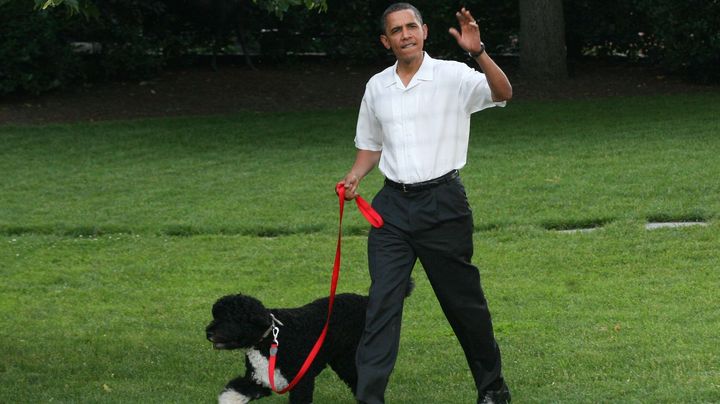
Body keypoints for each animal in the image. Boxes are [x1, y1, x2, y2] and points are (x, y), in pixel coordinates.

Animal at [205, 284, 414, 404]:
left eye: (230, 317)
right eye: (216, 315)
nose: (208, 332)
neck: (271, 339)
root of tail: (366, 300)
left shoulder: (302, 382)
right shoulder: (259, 380)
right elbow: (233, 392)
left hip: (351, 357)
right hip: (341, 360)